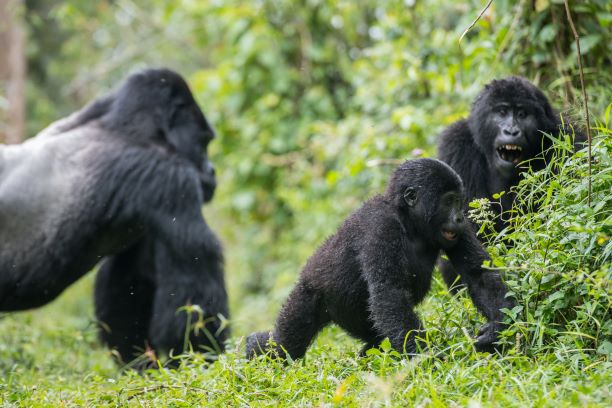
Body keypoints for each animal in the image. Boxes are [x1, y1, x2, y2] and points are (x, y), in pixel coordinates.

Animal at [0, 67, 230, 366]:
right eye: (203, 142)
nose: (212, 170)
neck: (128, 128)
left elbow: (127, 283)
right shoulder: (169, 177)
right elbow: (193, 276)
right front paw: (200, 359)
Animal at [246, 159, 512, 360]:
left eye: (459, 200)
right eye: (448, 201)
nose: (459, 218)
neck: (408, 219)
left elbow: (478, 274)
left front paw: (498, 329)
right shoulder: (382, 227)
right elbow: (389, 292)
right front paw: (425, 358)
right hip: (308, 292)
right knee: (285, 344)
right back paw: (256, 348)